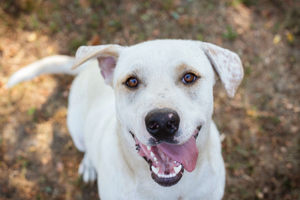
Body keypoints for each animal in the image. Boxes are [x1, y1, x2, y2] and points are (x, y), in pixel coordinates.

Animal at [7, 39, 244, 199]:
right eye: (131, 81)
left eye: (189, 77)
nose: (162, 122)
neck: (166, 189)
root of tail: (89, 67)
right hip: (77, 131)